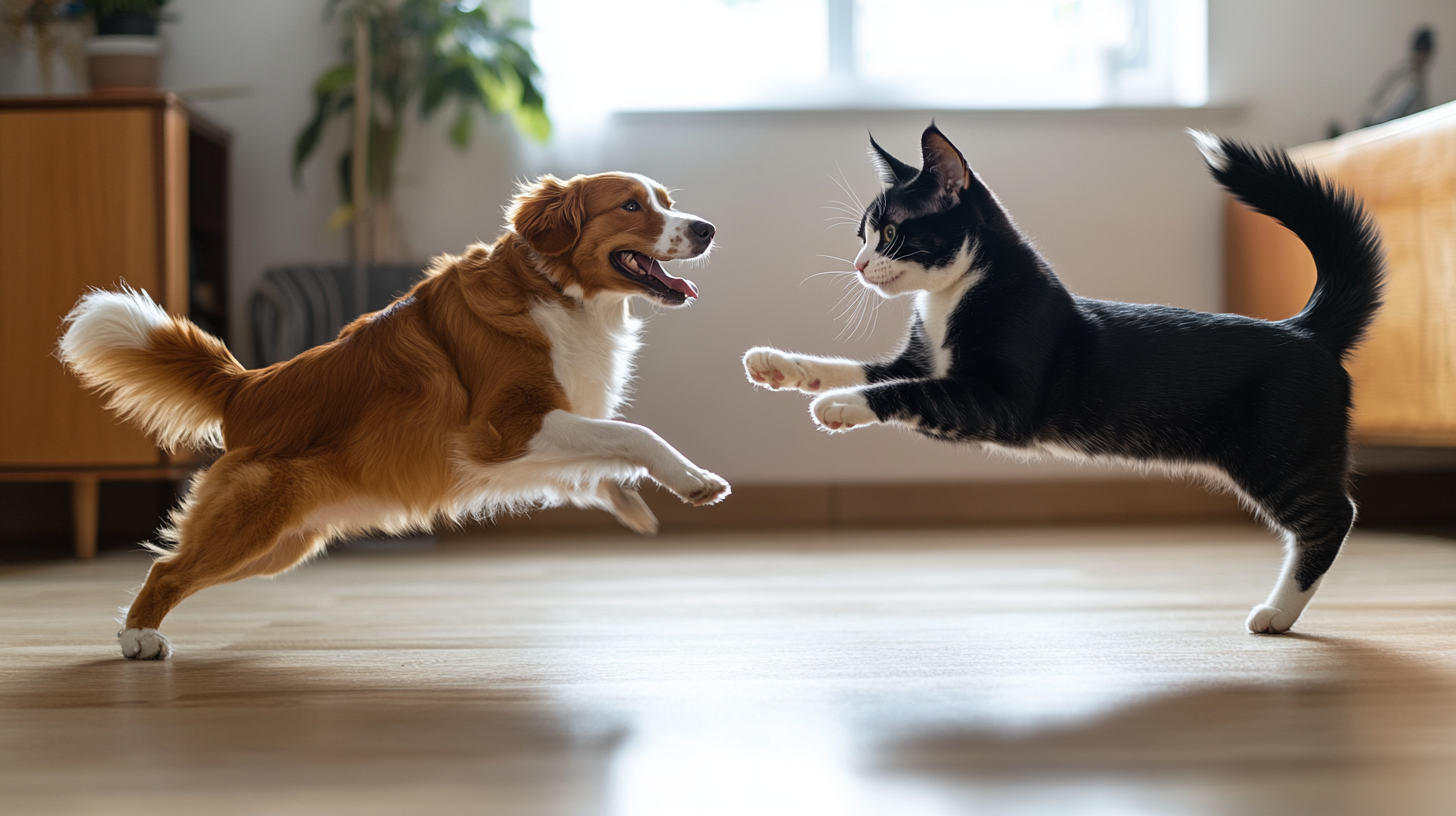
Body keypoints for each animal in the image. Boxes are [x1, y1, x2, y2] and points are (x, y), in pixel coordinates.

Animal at [59, 170, 728, 655]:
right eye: (632, 206)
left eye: (667, 202)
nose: (706, 228)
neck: (556, 292)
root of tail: (249, 385)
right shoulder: (503, 431)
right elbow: (635, 432)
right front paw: (692, 479)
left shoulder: (533, 446)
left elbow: (604, 450)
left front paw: (626, 498)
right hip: (254, 523)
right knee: (167, 570)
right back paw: (138, 637)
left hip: (283, 545)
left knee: (176, 564)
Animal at [745, 124, 1380, 635]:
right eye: (862, 236)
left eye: (892, 233)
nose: (857, 265)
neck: (950, 300)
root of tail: (1306, 330)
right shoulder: (923, 360)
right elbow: (873, 370)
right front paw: (779, 365)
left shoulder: (996, 402)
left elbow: (905, 391)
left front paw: (839, 406)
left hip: (1279, 452)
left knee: (1333, 516)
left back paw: (1278, 612)